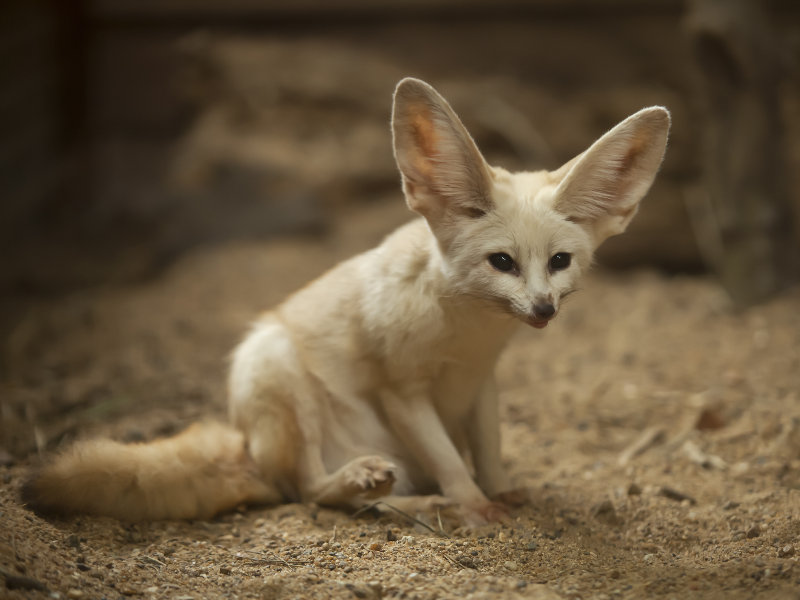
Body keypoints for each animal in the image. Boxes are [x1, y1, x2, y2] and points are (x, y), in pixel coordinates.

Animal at [23, 78, 668, 524]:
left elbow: (488, 450)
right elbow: (451, 460)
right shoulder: (402, 392)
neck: (466, 336)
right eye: (502, 263)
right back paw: (391, 494)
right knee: (310, 492)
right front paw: (475, 507)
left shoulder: (481, 382)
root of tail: (248, 449)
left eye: (559, 262)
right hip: (277, 370)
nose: (542, 310)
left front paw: (502, 490)